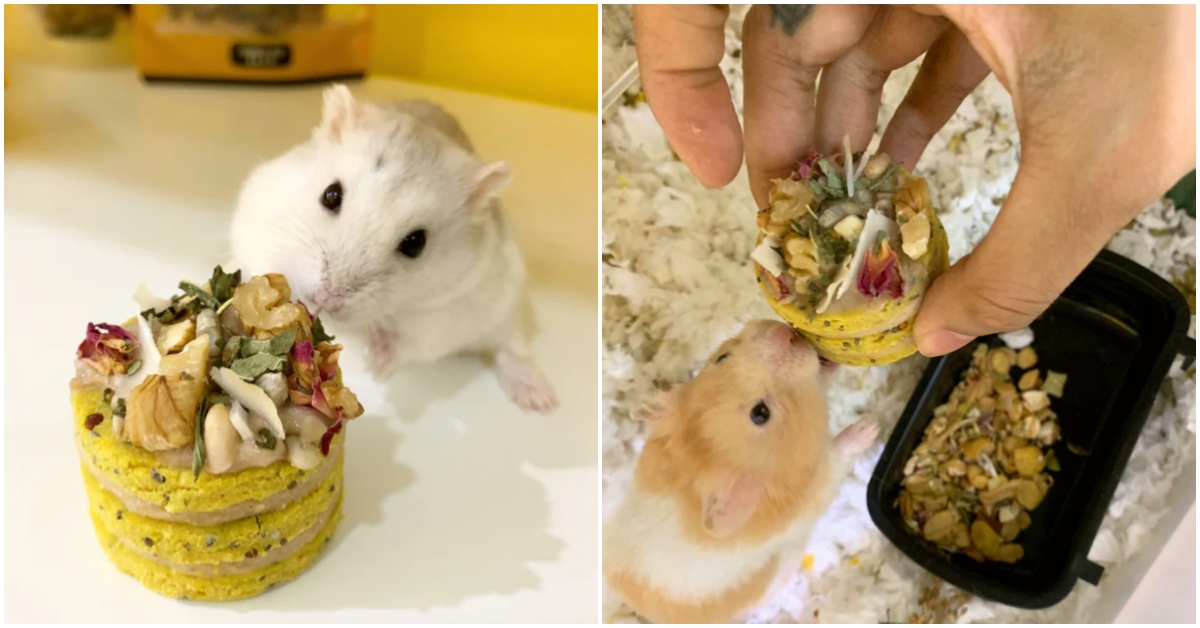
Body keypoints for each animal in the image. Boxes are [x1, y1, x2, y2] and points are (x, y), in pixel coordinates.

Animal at [230, 85, 557, 413]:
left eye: (415, 243)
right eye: (331, 195)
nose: (324, 299)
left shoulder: (446, 311)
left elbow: (406, 340)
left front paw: (376, 365)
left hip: (503, 309)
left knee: (512, 348)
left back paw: (539, 400)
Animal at [602, 319, 879, 623]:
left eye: (722, 357)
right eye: (761, 413)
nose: (787, 332)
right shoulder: (808, 498)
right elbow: (835, 460)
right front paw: (868, 428)